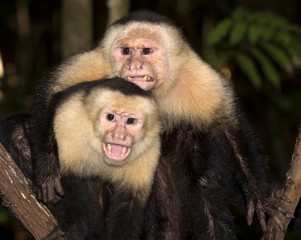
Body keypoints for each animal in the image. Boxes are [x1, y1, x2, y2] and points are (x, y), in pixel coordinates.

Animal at [29, 9, 288, 232]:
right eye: (126, 51)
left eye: (145, 51)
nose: (134, 65)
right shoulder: (97, 64)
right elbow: (52, 93)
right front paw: (47, 168)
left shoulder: (199, 77)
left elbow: (227, 128)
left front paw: (261, 196)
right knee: (167, 217)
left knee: (206, 185)